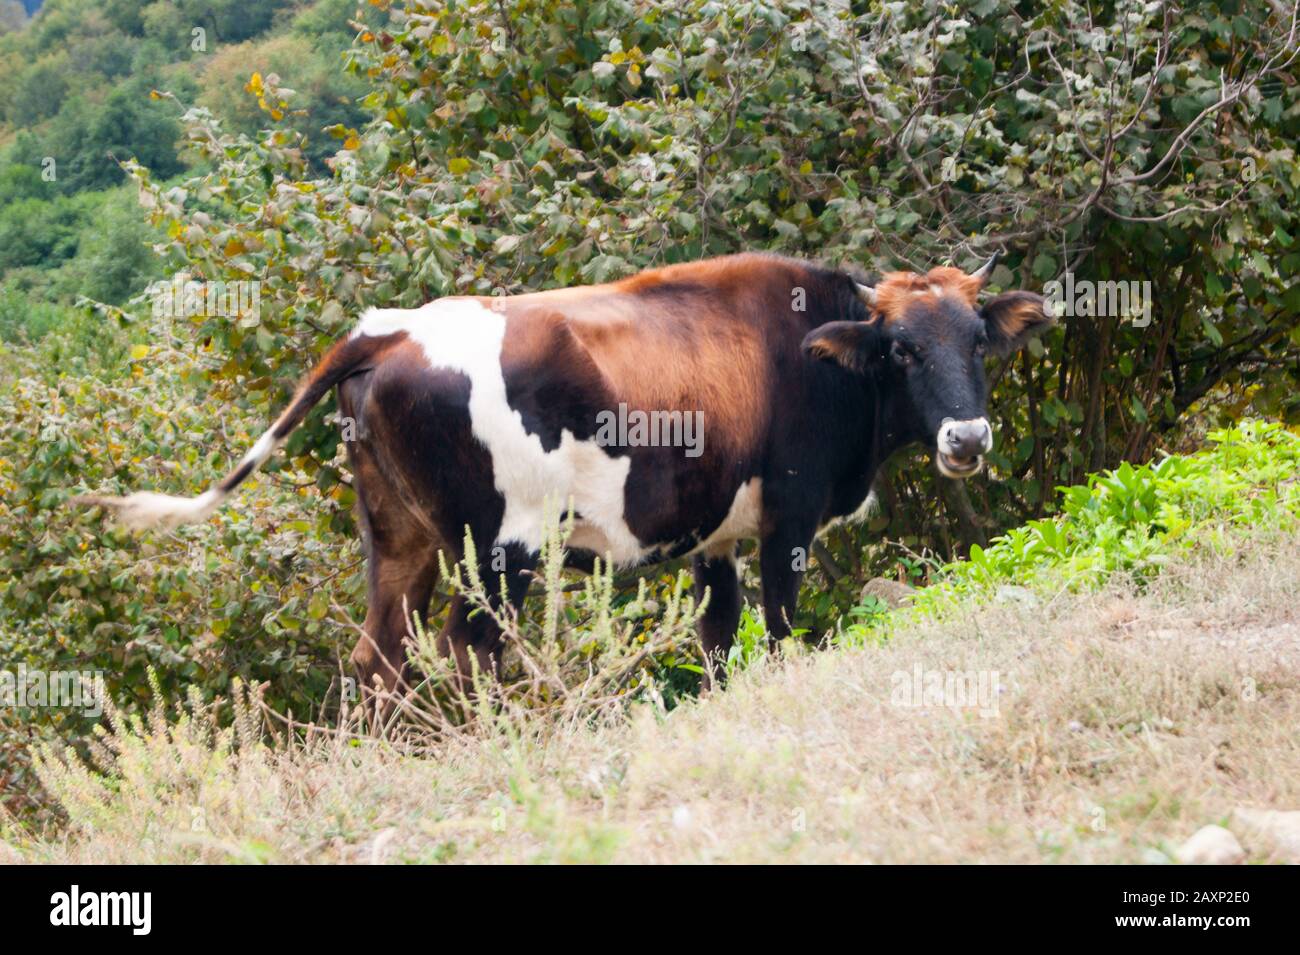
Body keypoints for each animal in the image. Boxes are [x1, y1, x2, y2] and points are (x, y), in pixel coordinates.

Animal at [81, 250, 1050, 691]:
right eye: (900, 350)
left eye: (976, 341)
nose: (968, 437)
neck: (810, 353)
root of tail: (388, 330)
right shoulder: (790, 520)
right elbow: (778, 632)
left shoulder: (717, 538)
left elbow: (719, 637)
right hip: (496, 550)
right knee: (465, 651)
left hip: (399, 543)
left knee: (377, 659)